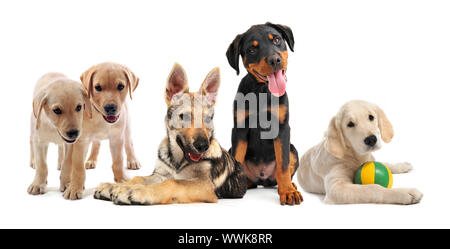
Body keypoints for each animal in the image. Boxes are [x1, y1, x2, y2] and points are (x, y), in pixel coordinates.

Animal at [60, 62, 140, 200]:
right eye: (98, 87)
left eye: (120, 86)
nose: (110, 108)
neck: (100, 117)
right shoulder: (81, 141)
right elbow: (78, 167)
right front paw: (75, 187)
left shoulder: (116, 138)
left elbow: (118, 161)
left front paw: (121, 179)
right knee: (96, 144)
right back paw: (91, 160)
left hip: (127, 127)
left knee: (129, 144)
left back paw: (133, 160)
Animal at [94, 63, 246, 205]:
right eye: (184, 116)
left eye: (209, 118)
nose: (203, 146)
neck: (177, 161)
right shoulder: (160, 174)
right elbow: (139, 178)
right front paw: (114, 186)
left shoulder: (205, 184)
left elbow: (172, 182)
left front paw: (135, 191)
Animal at [225, 22, 302, 205]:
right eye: (252, 50)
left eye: (277, 40)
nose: (275, 60)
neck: (262, 91)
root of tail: (262, 179)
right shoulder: (239, 129)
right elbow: (237, 157)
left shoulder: (282, 128)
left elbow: (283, 165)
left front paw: (288, 192)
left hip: (293, 150)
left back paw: (290, 186)